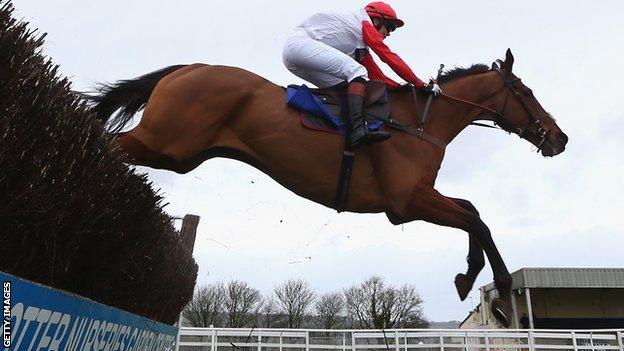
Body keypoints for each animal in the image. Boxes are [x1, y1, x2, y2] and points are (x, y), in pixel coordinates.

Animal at [89, 48, 572, 328]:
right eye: (526, 90)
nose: (560, 137)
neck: (420, 121)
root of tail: (187, 68)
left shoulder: (416, 197)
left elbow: (472, 210)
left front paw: (468, 277)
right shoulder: (406, 201)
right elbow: (477, 219)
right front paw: (500, 292)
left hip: (178, 154)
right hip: (163, 143)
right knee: (107, 141)